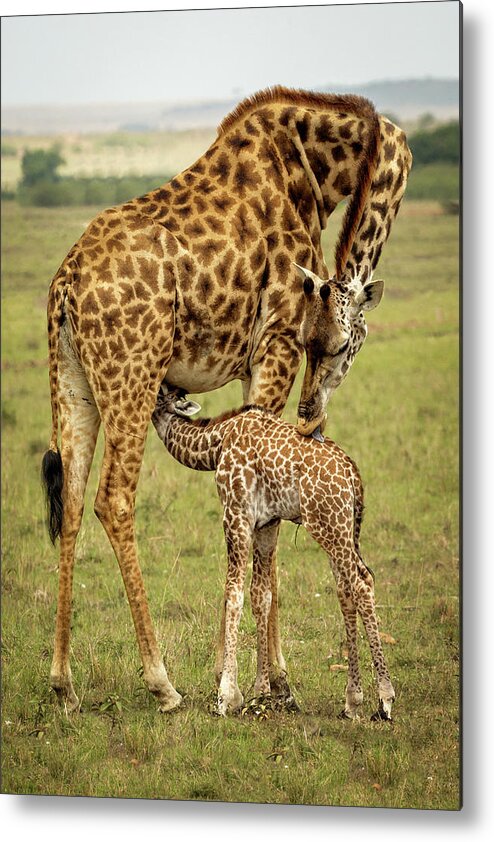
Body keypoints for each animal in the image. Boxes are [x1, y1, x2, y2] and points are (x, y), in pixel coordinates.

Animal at [151, 390, 394, 720]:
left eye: (159, 394)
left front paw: (227, 697)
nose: (142, 410)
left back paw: (385, 700)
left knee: (362, 582)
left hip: (328, 525)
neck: (217, 441)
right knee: (346, 590)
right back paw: (351, 702)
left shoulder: (236, 514)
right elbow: (262, 595)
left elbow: (234, 594)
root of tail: (352, 474)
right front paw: (261, 691)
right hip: (344, 529)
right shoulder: (267, 523)